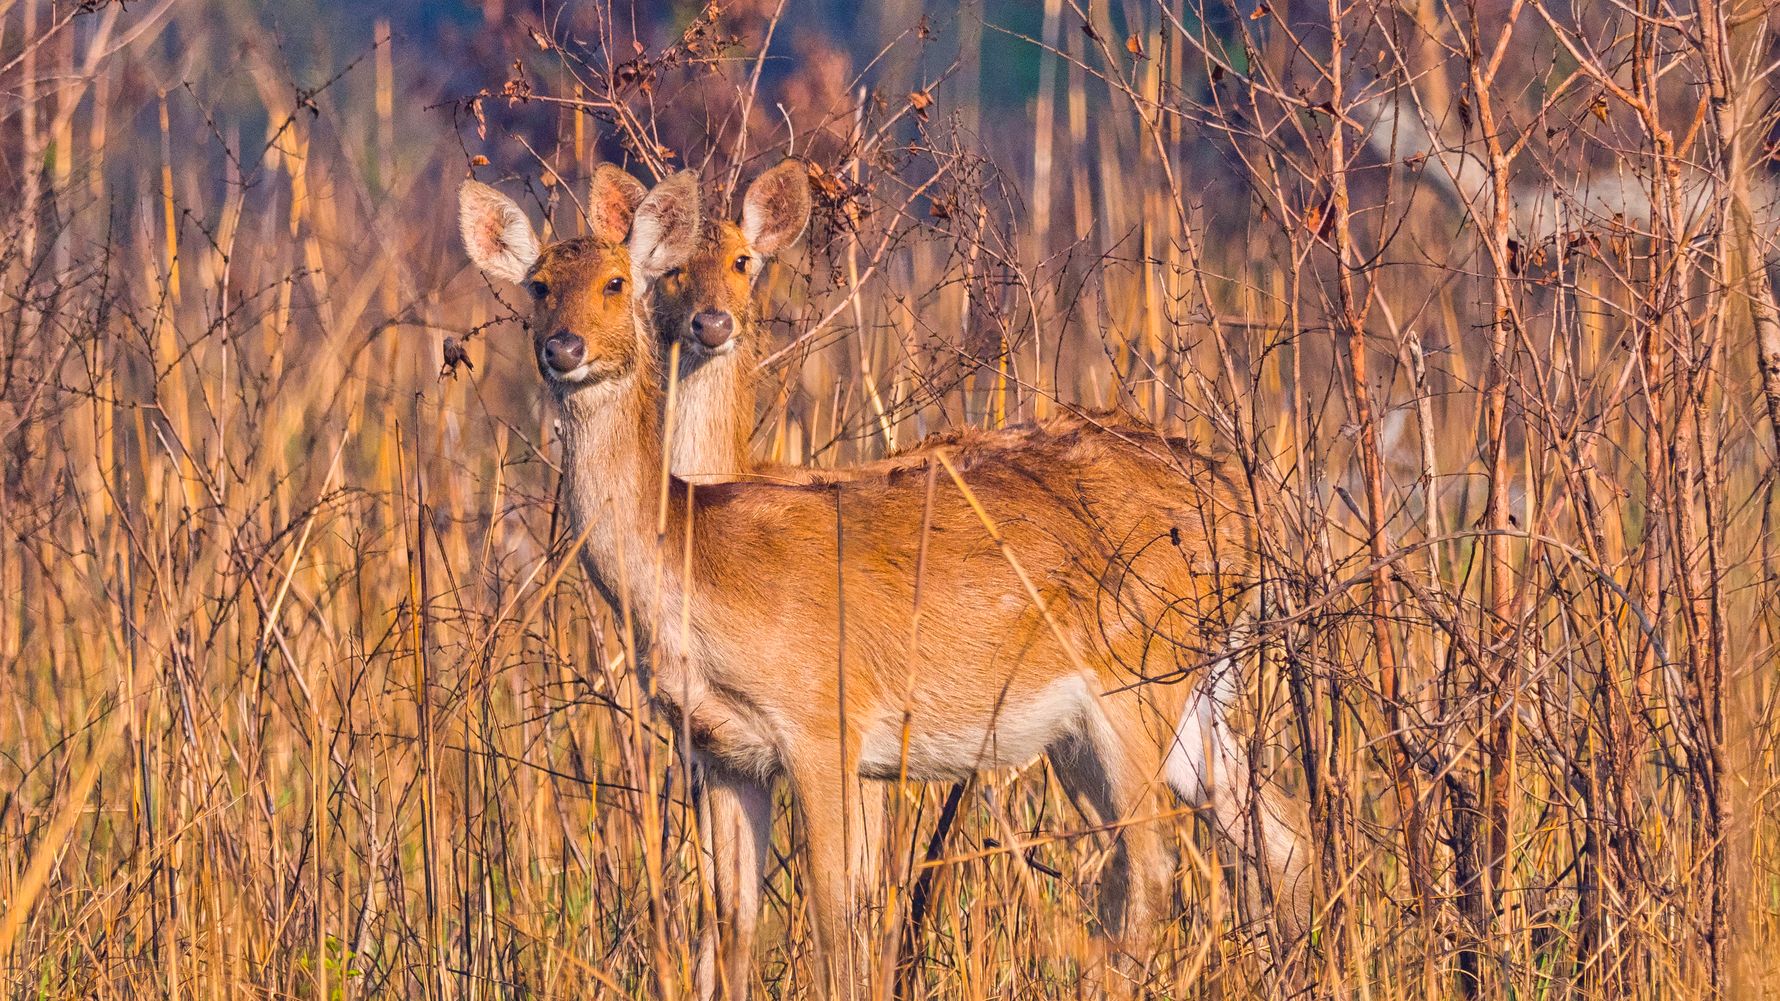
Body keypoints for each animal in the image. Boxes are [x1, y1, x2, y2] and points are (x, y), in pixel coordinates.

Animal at [458, 167, 1312, 999]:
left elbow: (839, 918)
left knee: (1151, 867)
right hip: (1189, 693)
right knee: (1278, 837)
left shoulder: (825, 723)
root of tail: (1247, 507)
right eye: (538, 284)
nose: (563, 347)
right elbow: (728, 932)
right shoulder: (723, 752)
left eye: (616, 281)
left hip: (1133, 679)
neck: (698, 562)